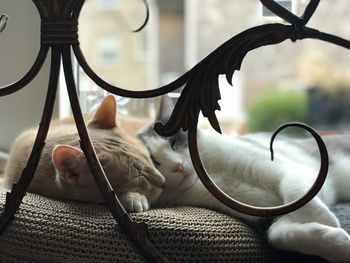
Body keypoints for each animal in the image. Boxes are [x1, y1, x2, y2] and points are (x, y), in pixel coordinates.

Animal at [137, 96, 350, 262]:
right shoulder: (267, 219)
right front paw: (340, 242)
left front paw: (326, 219)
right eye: (154, 163)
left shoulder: (292, 169)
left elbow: (295, 193)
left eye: (173, 143)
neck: (212, 175)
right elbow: (280, 235)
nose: (178, 166)